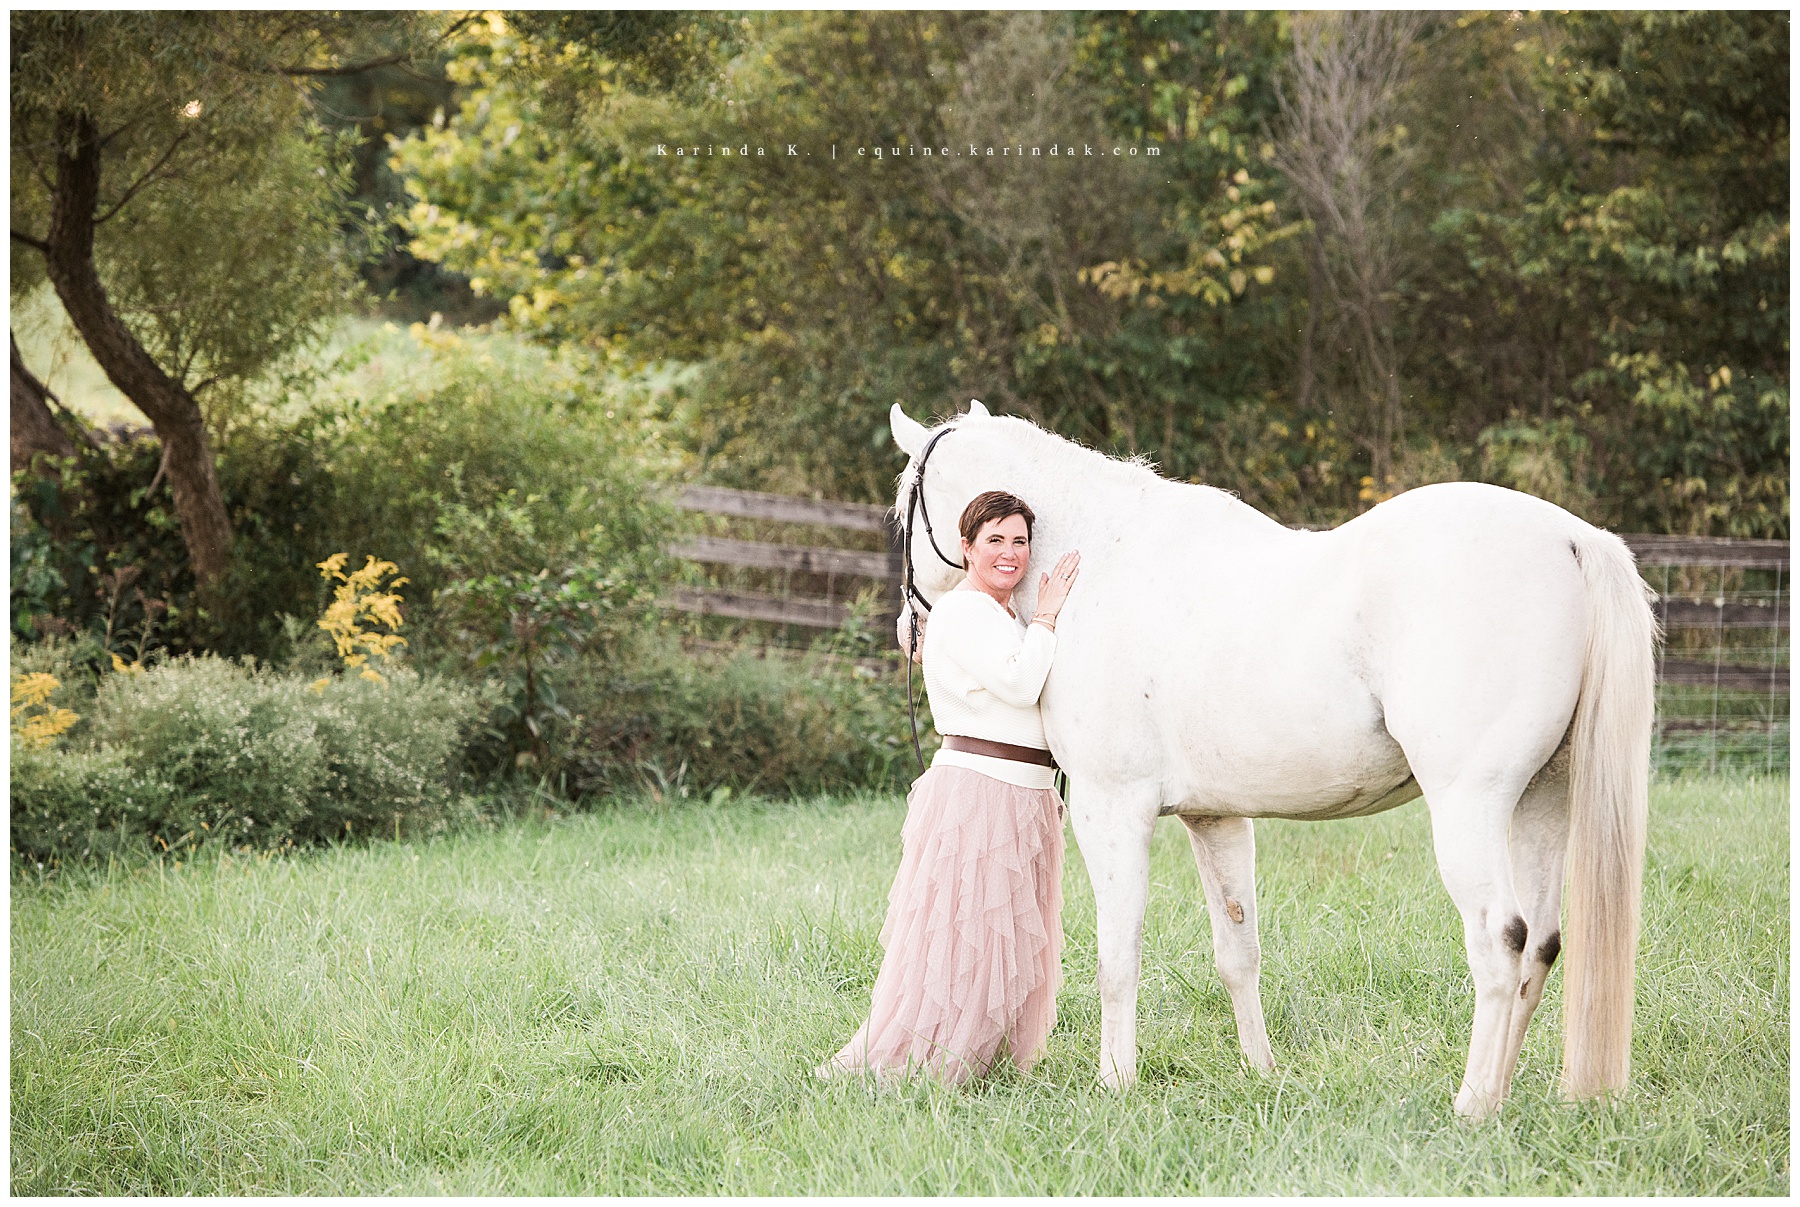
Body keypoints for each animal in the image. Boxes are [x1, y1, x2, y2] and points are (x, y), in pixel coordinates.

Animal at [889, 400, 1656, 1118]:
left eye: (901, 514)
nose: (909, 629)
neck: (1101, 556)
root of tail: (1573, 538)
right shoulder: (1216, 819)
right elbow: (1238, 952)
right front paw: (1260, 1072)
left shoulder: (1112, 808)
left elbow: (1116, 955)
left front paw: (1115, 1082)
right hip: (1543, 802)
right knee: (1541, 945)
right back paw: (1513, 1094)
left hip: (1472, 806)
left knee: (1500, 940)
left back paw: (1472, 1105)